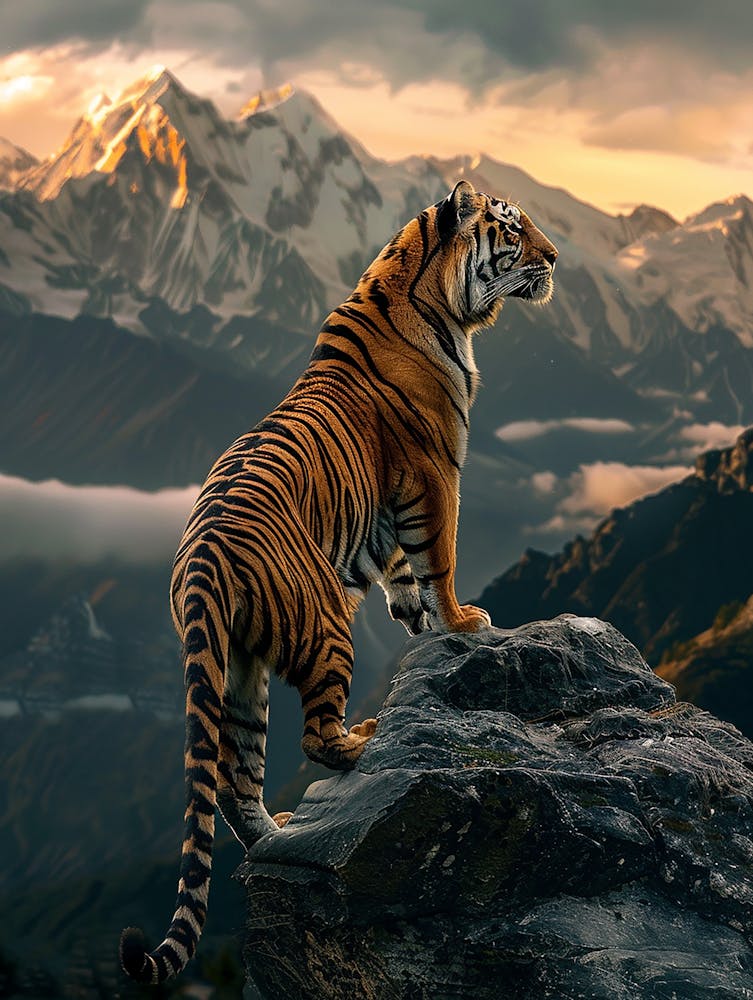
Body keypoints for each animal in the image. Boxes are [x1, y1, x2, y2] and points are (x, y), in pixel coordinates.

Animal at [120, 178, 558, 984]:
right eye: (513, 230)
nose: (556, 259)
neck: (426, 295)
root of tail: (199, 558)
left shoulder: (384, 513)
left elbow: (405, 577)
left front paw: (424, 623)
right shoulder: (436, 476)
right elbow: (441, 559)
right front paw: (463, 622)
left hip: (238, 672)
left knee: (236, 778)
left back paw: (276, 832)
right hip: (325, 625)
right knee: (316, 739)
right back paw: (367, 738)